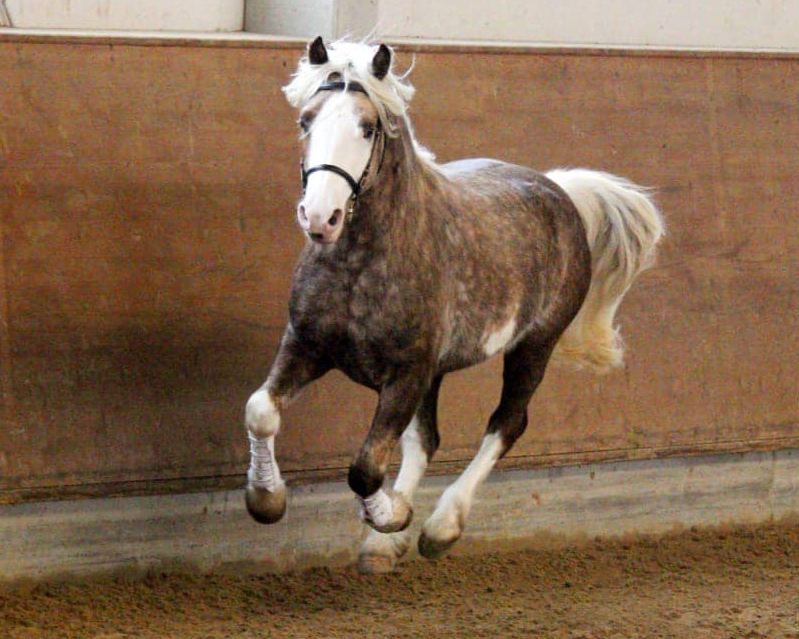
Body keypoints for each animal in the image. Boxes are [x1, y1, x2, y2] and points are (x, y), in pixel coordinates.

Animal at [242, 37, 664, 572]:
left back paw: (439, 528)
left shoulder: (407, 374)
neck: (360, 265)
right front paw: (268, 500)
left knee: (506, 424)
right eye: (306, 120)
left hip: (534, 346)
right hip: (440, 370)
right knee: (425, 441)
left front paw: (394, 516)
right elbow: (261, 410)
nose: (320, 216)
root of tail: (559, 190)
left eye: (368, 127)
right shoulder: (306, 345)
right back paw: (383, 545)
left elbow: (364, 468)